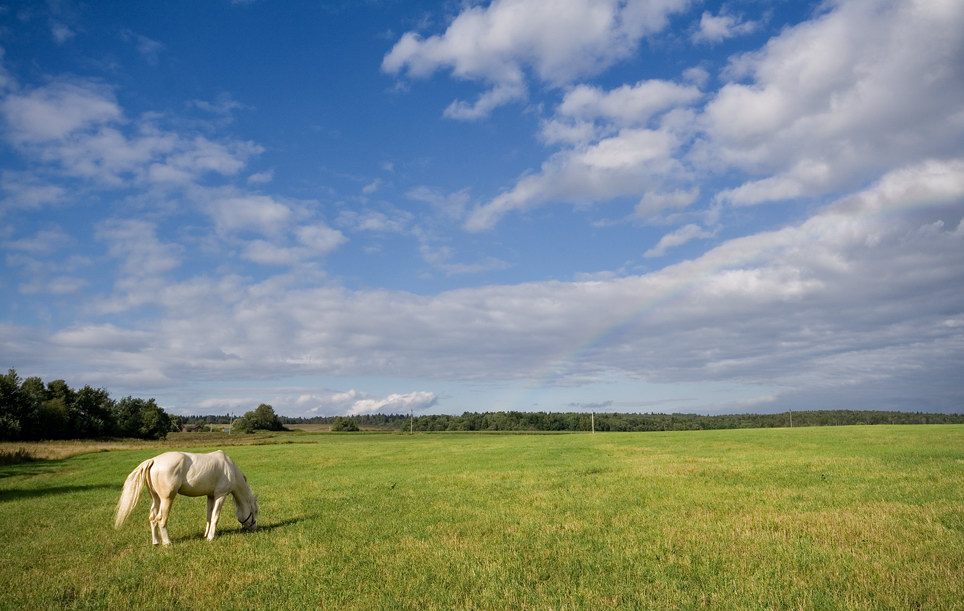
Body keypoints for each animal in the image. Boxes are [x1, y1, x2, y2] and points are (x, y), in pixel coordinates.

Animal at [113, 450, 260, 544]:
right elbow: (215, 516)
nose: (254, 529)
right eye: (256, 511)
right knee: (161, 519)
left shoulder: (210, 496)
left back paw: (156, 542)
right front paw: (211, 538)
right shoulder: (220, 495)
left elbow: (209, 516)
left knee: (152, 518)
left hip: (155, 498)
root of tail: (153, 460)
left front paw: (205, 535)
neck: (230, 469)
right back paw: (167, 542)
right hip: (167, 499)